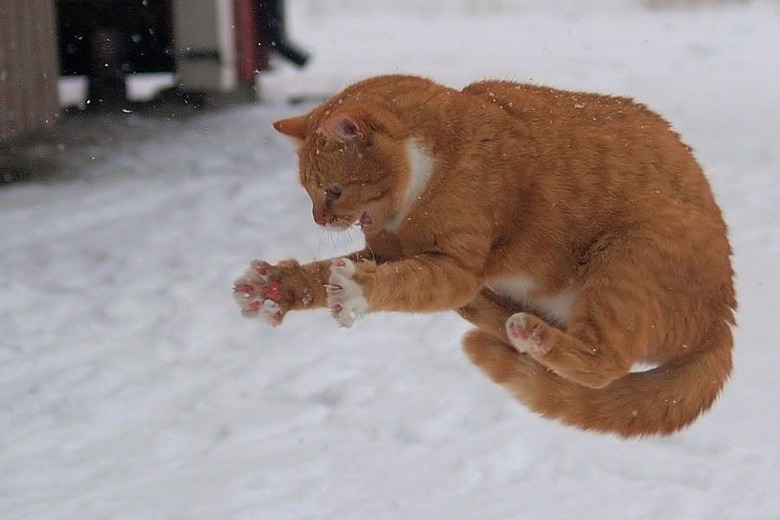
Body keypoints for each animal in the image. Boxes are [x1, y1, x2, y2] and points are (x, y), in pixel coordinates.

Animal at [235, 74, 736, 438]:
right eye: (309, 192)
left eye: (334, 191)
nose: (320, 219)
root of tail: (723, 317)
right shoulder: (387, 251)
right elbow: (322, 275)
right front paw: (277, 288)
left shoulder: (453, 266)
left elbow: (402, 283)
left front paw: (358, 289)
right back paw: (504, 322)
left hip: (631, 250)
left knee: (604, 365)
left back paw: (532, 334)